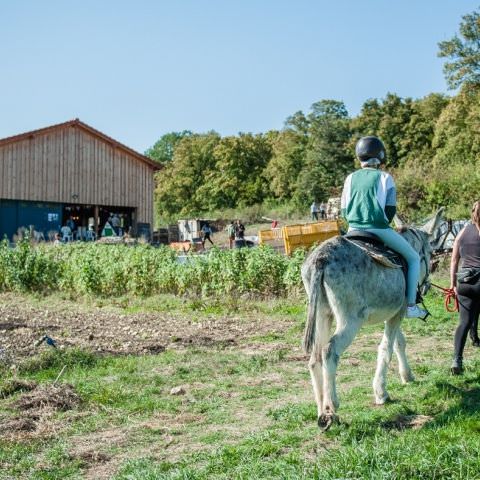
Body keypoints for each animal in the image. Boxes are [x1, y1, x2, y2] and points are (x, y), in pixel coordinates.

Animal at [302, 212, 444, 430]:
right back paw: (331, 408)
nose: (426, 286)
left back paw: (321, 409)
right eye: (429, 252)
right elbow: (386, 348)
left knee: (315, 357)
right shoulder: (398, 312)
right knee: (329, 351)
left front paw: (407, 376)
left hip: (322, 315)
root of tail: (321, 258)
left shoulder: (394, 313)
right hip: (350, 321)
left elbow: (398, 343)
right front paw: (381, 393)